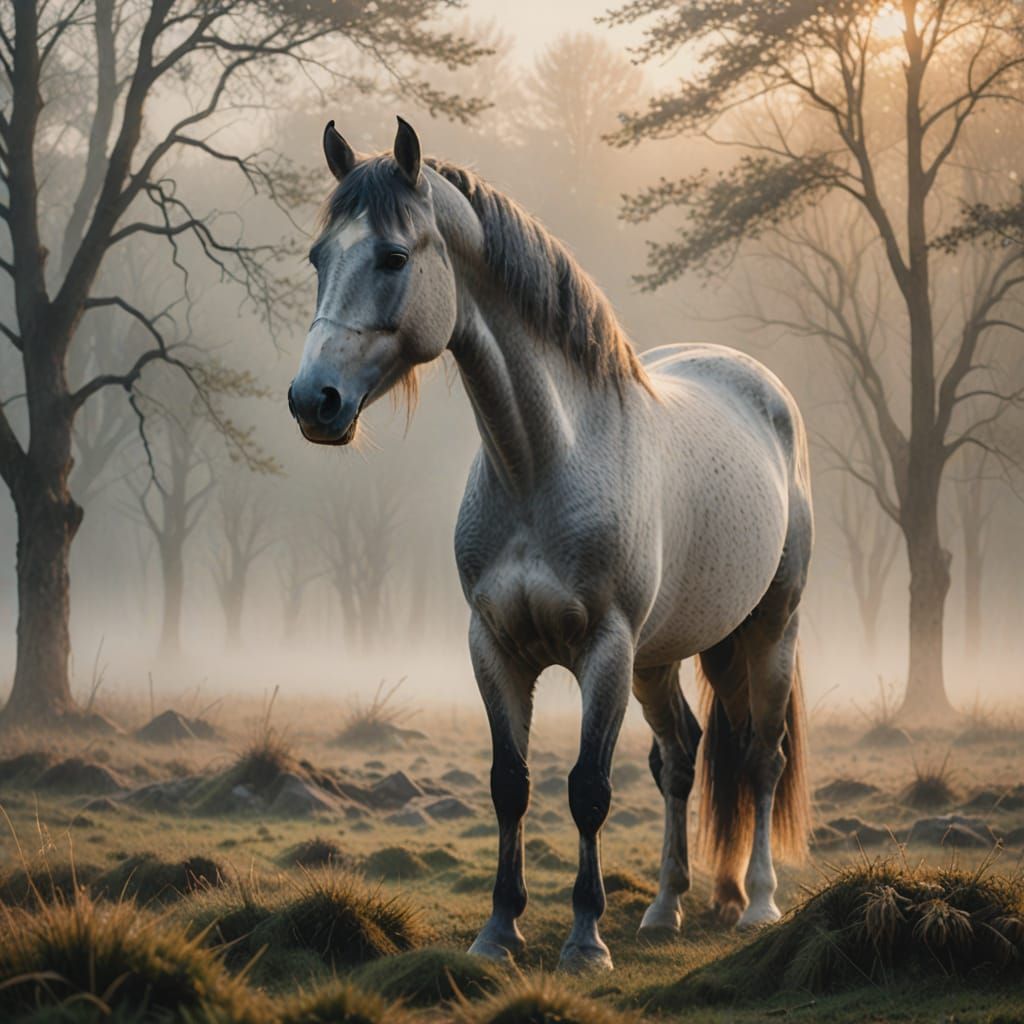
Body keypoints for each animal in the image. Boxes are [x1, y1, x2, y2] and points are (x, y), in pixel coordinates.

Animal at [288, 117, 813, 972]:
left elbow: (588, 789)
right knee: (684, 756)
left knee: (762, 756)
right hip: (663, 656)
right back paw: (671, 906)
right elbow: (511, 783)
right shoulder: (495, 645)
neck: (543, 461)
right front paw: (500, 929)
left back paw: (757, 902)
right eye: (318, 257)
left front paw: (584, 939)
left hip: (769, 628)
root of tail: (758, 384)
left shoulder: (605, 651)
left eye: (393, 257)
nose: (313, 401)